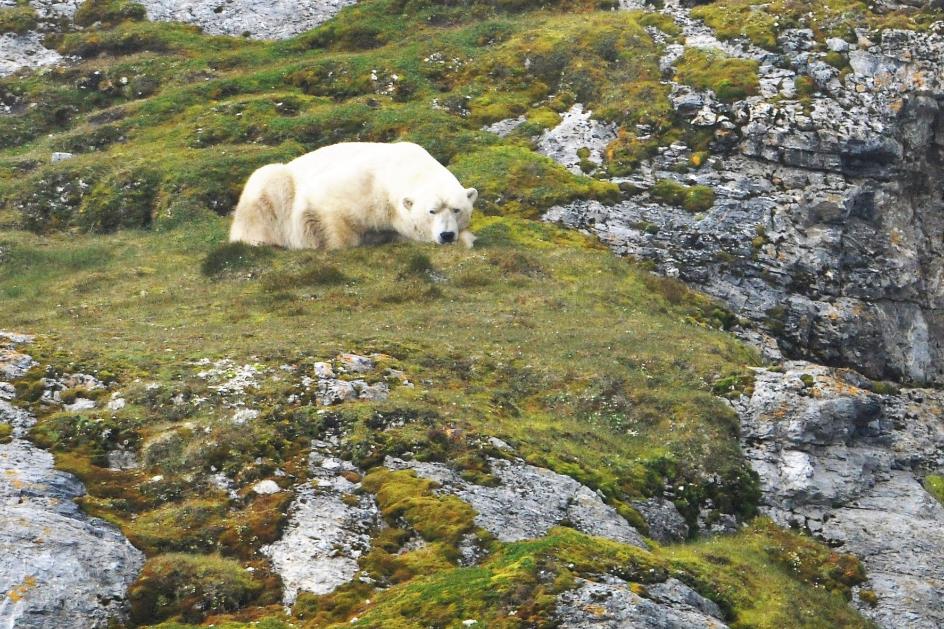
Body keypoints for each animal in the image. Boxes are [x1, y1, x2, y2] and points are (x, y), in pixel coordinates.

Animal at [230, 142, 480, 250]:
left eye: (457, 209)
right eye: (432, 211)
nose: (447, 235)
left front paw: (467, 239)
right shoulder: (361, 184)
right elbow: (330, 214)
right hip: (272, 187)